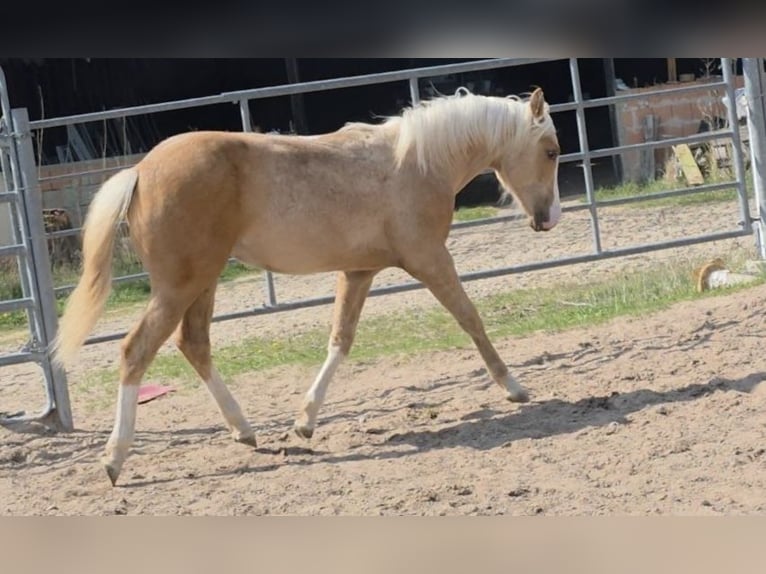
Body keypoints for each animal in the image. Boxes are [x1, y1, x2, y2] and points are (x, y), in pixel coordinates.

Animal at [52, 87, 562, 485]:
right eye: (552, 151)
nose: (550, 219)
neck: (416, 162)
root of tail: (139, 171)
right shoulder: (430, 259)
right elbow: (470, 317)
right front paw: (514, 388)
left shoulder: (359, 272)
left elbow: (340, 340)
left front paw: (305, 422)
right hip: (180, 286)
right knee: (136, 350)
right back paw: (115, 459)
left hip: (202, 282)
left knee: (193, 344)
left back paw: (244, 431)